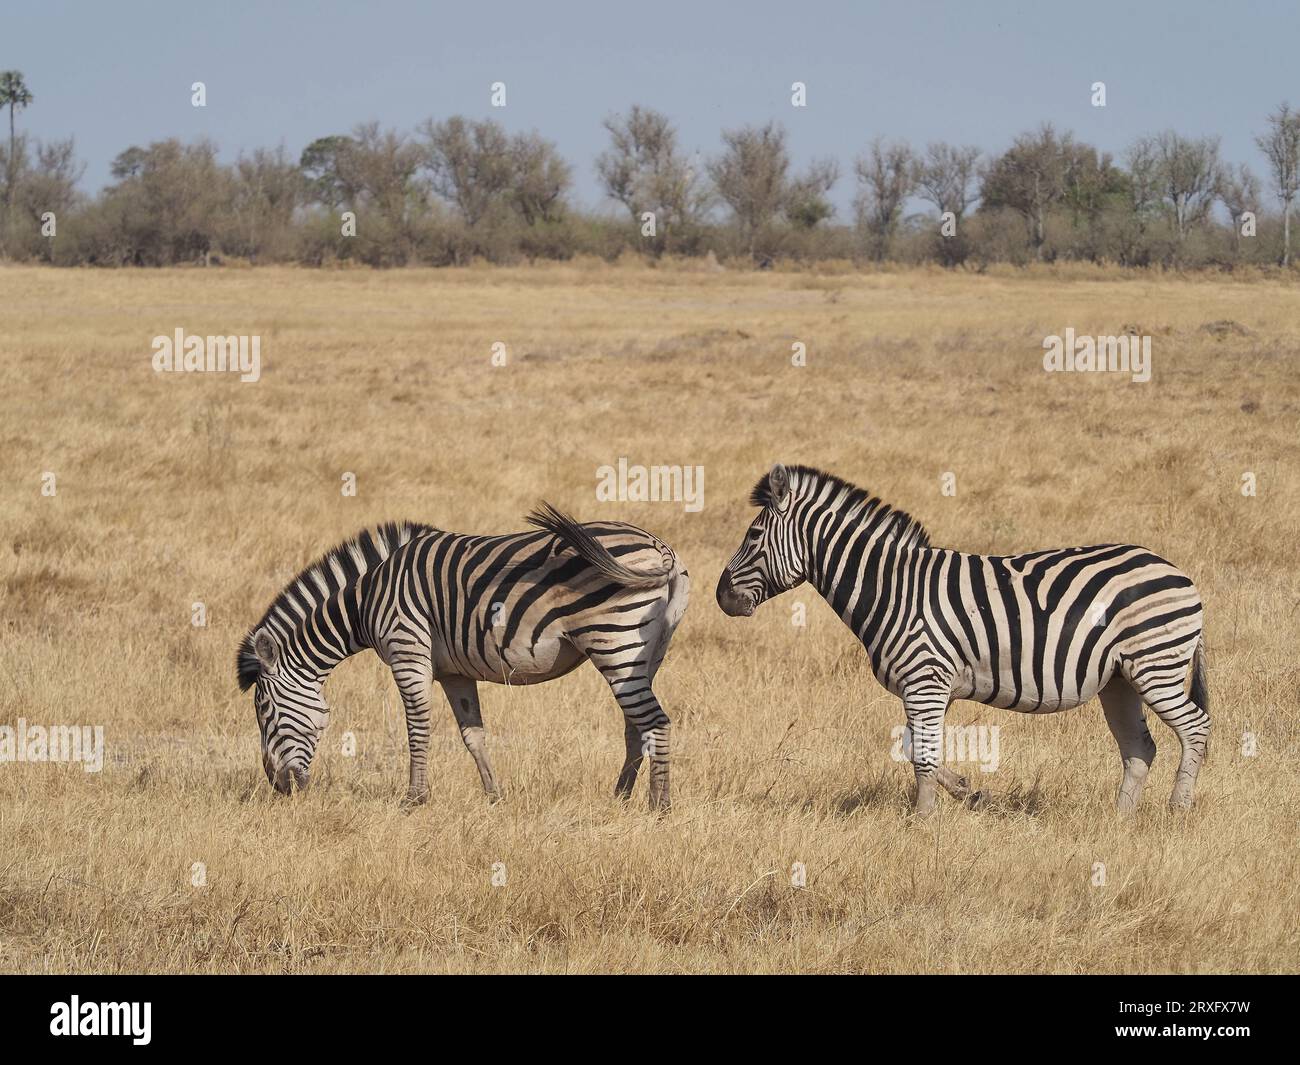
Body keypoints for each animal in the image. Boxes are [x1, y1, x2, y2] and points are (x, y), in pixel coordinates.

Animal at [237, 505, 689, 810]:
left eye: (264, 711)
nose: (279, 787)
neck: (367, 601)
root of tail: (660, 547)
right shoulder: (454, 671)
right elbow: (473, 734)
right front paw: (494, 796)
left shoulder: (407, 651)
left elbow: (417, 728)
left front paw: (415, 799)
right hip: (645, 653)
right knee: (636, 726)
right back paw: (620, 799)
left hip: (615, 642)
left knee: (655, 722)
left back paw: (659, 808)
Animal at [716, 464, 1210, 816]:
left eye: (754, 535)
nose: (721, 598)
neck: (893, 588)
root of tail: (1178, 573)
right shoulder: (929, 687)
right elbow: (913, 747)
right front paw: (970, 794)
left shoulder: (924, 681)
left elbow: (922, 756)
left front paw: (922, 822)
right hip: (1120, 681)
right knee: (1140, 748)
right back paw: (1120, 820)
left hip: (1156, 666)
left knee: (1195, 727)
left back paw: (1177, 811)